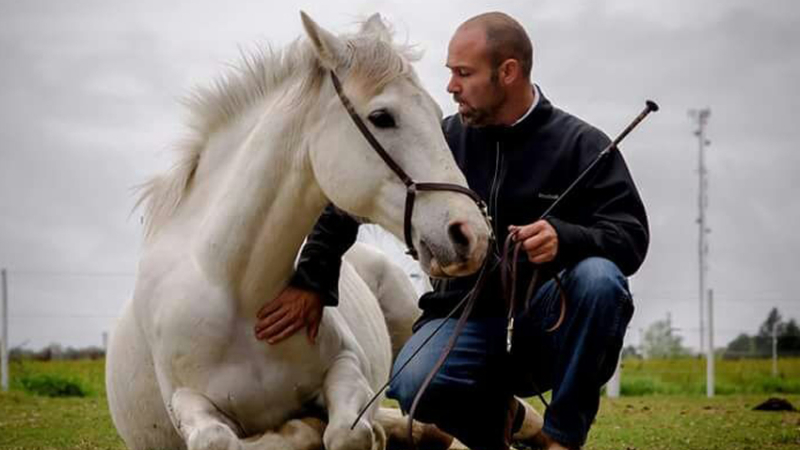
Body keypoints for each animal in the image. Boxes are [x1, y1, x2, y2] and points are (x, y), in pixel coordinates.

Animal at [105, 12, 490, 450]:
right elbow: (223, 439)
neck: (238, 292)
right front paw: (300, 429)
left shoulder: (347, 366)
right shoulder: (188, 402)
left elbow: (346, 432)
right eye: (382, 117)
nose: (471, 233)